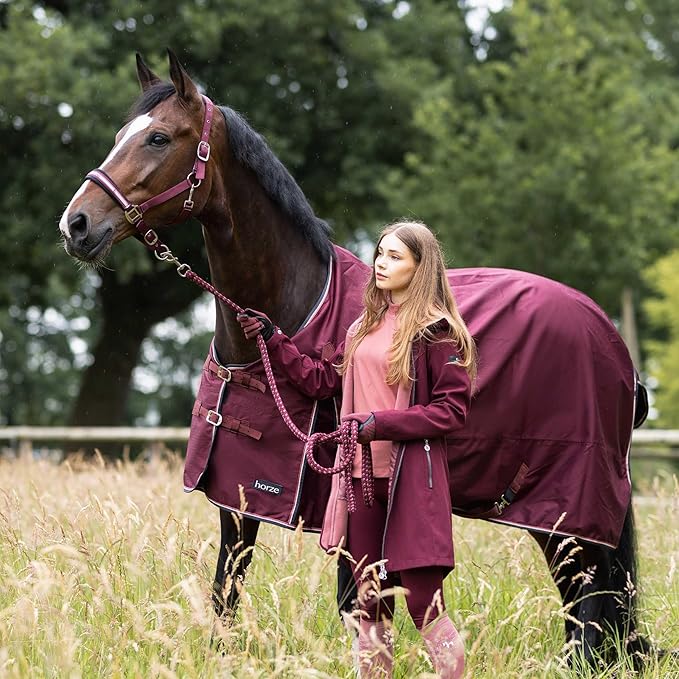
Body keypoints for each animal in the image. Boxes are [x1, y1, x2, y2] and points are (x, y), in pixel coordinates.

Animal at [59, 50, 655, 670]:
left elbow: (355, 605)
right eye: (119, 136)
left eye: (158, 137)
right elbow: (229, 589)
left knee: (590, 600)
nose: (76, 224)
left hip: (563, 510)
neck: (290, 314)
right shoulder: (238, 497)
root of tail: (614, 345)